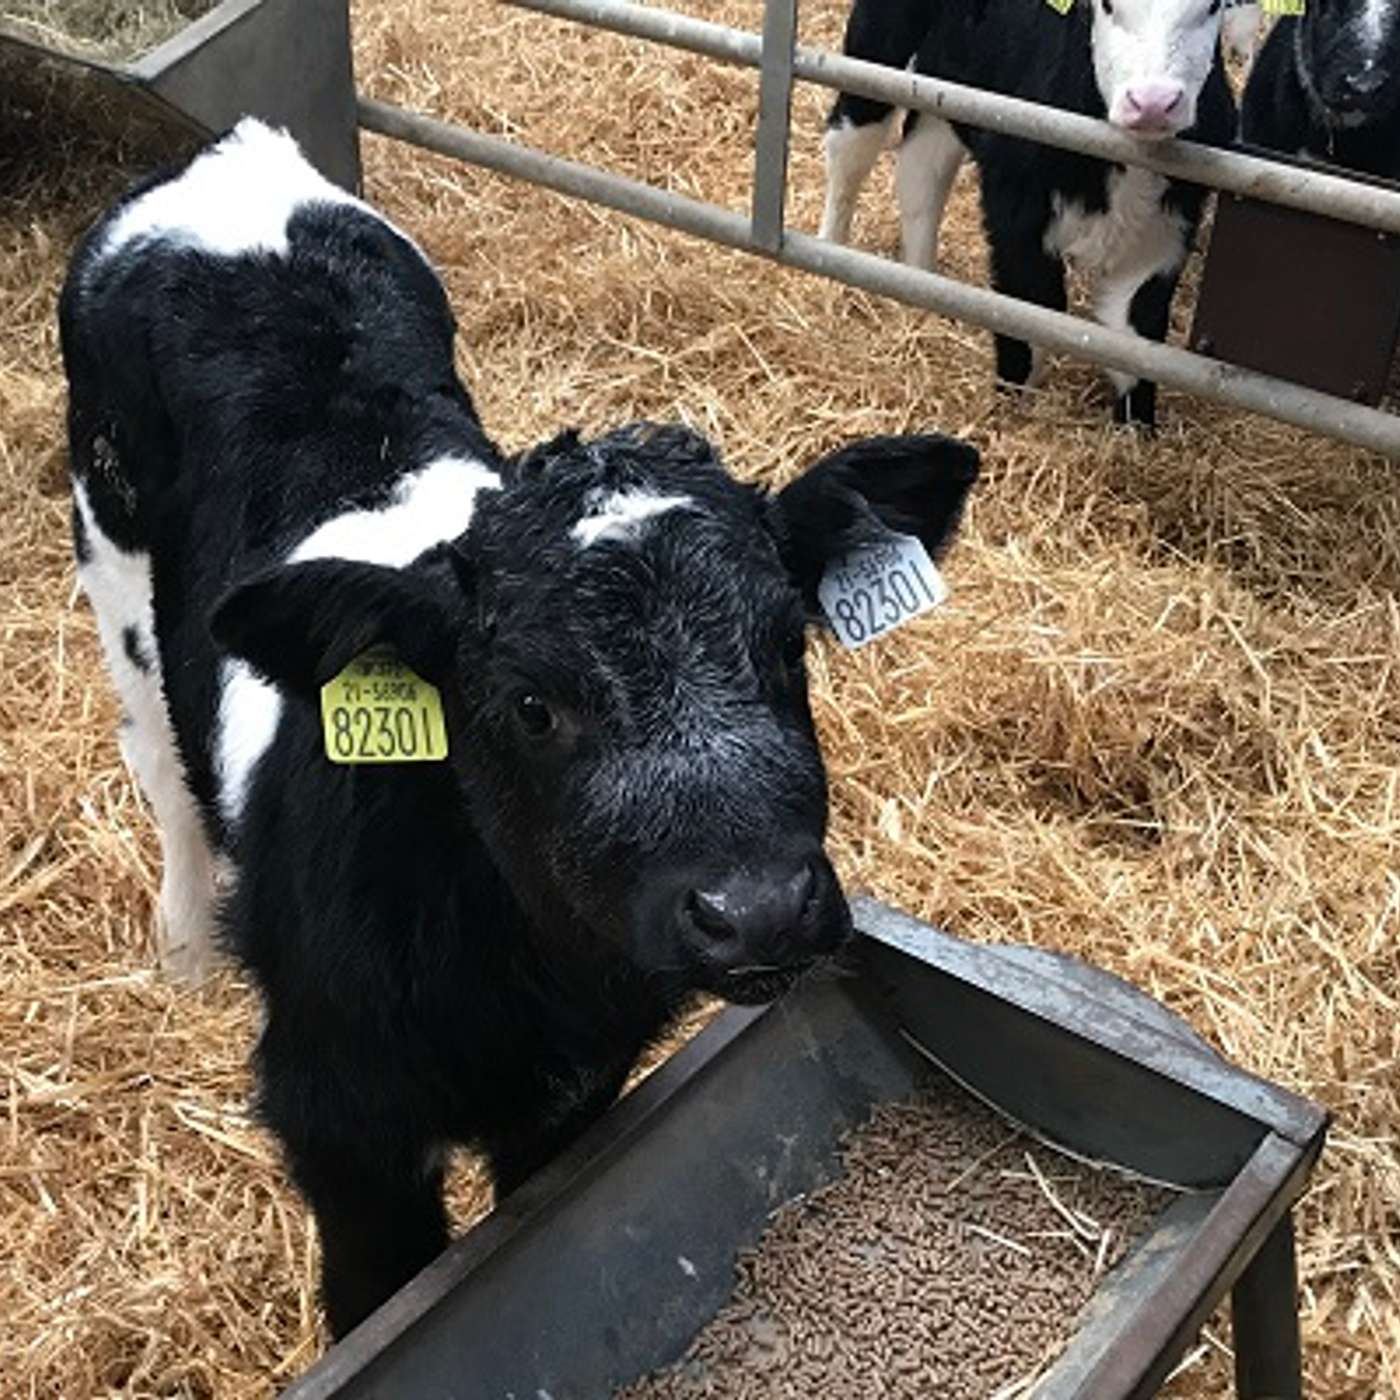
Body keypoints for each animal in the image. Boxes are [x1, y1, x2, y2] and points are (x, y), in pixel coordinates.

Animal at [61, 119, 980, 1338]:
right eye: (531, 704)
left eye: (789, 643)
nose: (758, 911)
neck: (523, 984)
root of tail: (230, 155)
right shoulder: (338, 1126)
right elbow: (373, 1303)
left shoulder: (576, 1097)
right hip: (112, 564)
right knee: (160, 768)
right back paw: (184, 947)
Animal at [819, 0, 1238, 427]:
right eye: (1105, 5)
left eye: (1212, 7)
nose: (1153, 103)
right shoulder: (1013, 215)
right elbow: (1031, 310)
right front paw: (1011, 409)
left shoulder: (1164, 236)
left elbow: (1134, 335)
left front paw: (1136, 429)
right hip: (876, 57)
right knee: (847, 155)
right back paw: (831, 265)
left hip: (946, 93)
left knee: (921, 177)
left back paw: (922, 292)